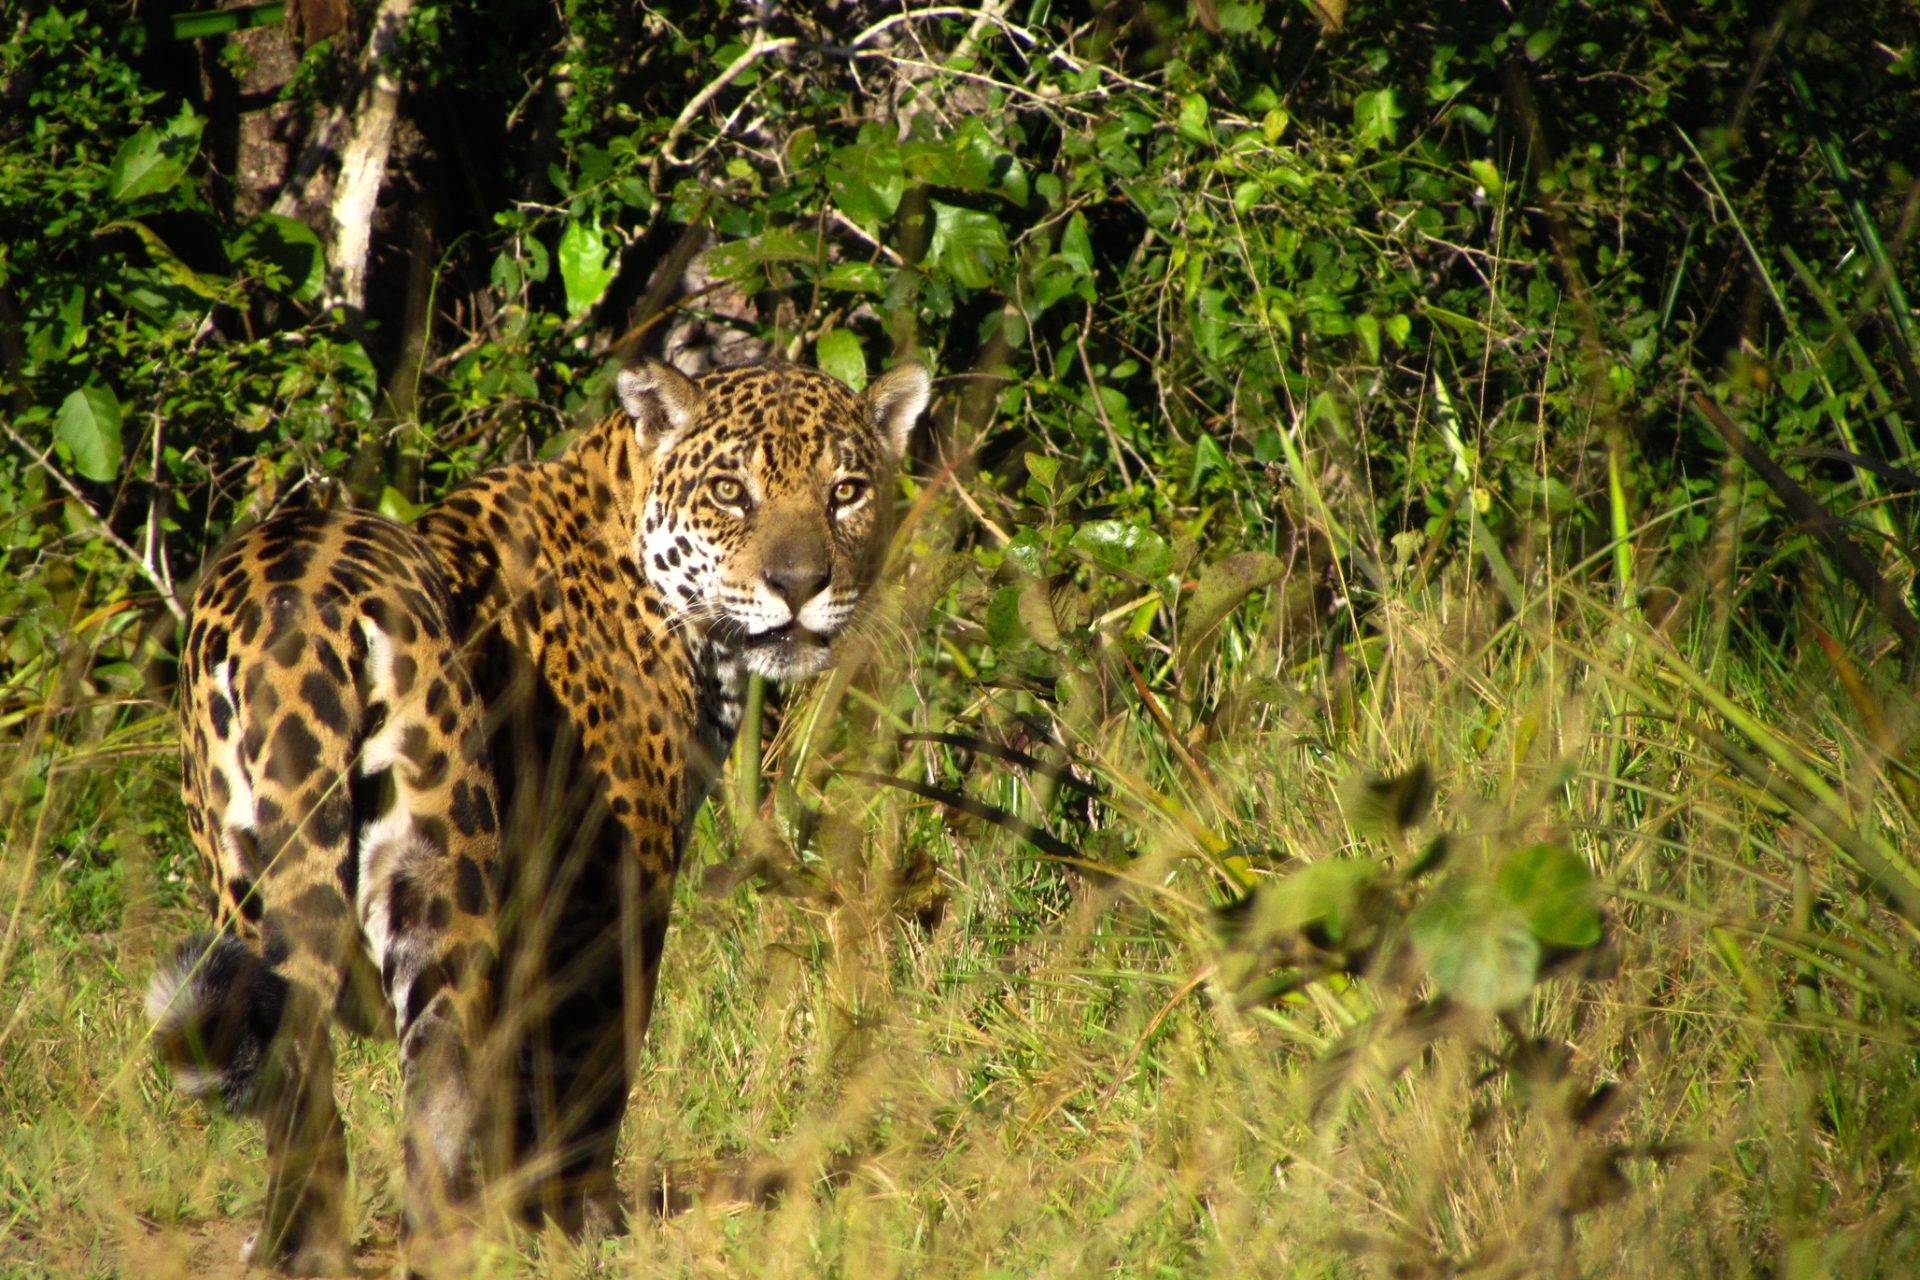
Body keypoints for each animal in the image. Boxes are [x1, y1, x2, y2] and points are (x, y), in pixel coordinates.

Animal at [146, 358, 931, 1274]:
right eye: (731, 492)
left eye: (846, 491)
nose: (800, 586)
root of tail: (294, 612)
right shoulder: (612, 879)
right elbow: (593, 1056)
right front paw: (584, 1220)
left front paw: (526, 1211)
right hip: (439, 867)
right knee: (437, 1073)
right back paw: (441, 1241)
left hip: (246, 877)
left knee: (299, 1073)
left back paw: (295, 1244)